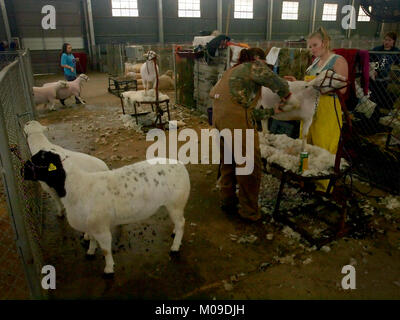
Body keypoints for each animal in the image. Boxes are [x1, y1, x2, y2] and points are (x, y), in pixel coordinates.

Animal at [21, 151, 191, 276]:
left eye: (38, 161)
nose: (22, 171)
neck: (75, 187)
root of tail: (181, 166)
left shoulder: (100, 226)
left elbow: (105, 249)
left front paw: (108, 269)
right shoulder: (90, 224)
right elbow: (92, 240)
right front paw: (90, 251)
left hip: (176, 202)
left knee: (182, 223)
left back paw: (175, 246)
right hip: (172, 204)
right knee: (178, 222)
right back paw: (174, 232)